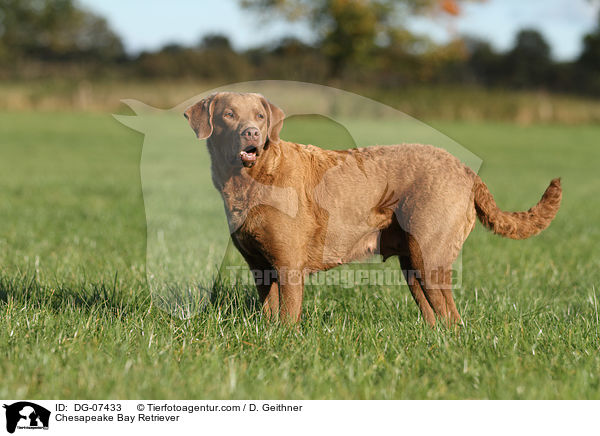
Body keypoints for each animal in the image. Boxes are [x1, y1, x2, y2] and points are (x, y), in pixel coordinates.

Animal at [184, 91, 564, 324]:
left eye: (260, 116)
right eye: (229, 114)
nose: (251, 133)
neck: (250, 178)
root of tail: (466, 170)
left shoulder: (288, 264)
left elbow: (288, 315)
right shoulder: (259, 265)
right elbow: (268, 310)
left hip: (431, 256)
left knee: (451, 316)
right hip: (412, 262)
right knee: (435, 315)